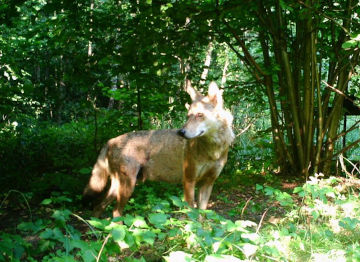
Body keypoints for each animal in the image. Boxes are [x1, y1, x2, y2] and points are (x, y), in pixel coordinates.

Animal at [82, 79, 235, 217]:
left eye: (199, 115)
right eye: (188, 116)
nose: (181, 132)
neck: (213, 151)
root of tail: (110, 141)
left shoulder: (208, 183)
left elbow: (201, 216)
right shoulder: (189, 181)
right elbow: (191, 215)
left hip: (120, 187)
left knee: (98, 207)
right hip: (127, 187)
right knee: (115, 213)